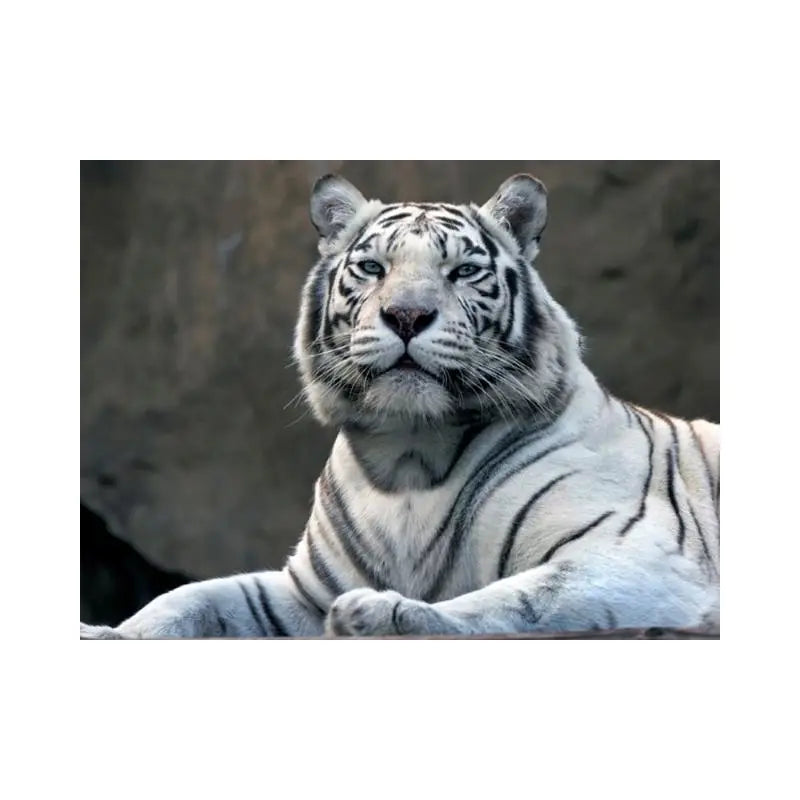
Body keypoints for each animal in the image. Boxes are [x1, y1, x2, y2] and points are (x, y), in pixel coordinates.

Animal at [80, 172, 720, 639]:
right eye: (372, 267)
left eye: (463, 271)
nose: (407, 315)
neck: (408, 455)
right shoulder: (303, 591)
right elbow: (193, 597)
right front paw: (111, 633)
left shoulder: (636, 556)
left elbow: (516, 600)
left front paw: (384, 613)